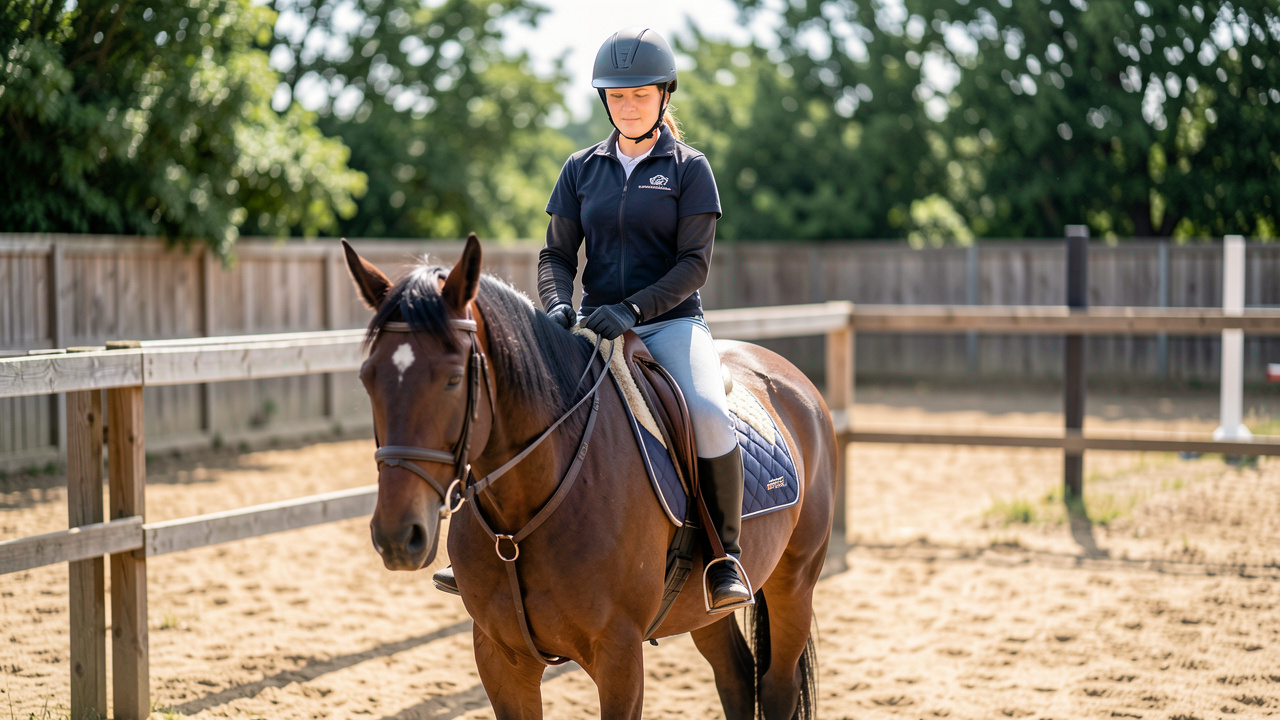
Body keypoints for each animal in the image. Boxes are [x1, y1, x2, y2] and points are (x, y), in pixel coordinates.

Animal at [342, 234, 837, 719]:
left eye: (451, 379)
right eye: (367, 377)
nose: (397, 536)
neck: (520, 517)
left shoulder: (619, 657)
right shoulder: (501, 658)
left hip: (794, 582)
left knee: (776, 687)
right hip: (702, 608)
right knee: (735, 675)